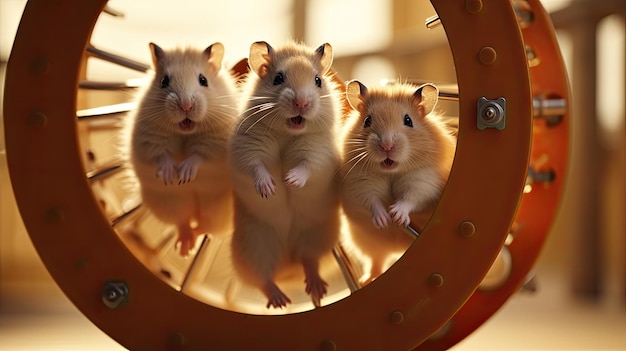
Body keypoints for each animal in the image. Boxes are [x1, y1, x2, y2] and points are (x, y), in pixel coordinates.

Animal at [124, 43, 239, 258]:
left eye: (203, 80)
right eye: (164, 81)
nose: (186, 105)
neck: (185, 132)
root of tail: (194, 211)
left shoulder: (216, 142)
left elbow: (199, 156)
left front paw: (184, 174)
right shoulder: (149, 139)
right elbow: (161, 156)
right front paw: (172, 176)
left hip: (218, 211)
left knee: (204, 227)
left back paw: (188, 248)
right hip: (168, 203)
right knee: (182, 222)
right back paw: (184, 248)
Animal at [228, 40, 342, 310]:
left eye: (318, 80)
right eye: (278, 78)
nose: (301, 103)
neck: (287, 132)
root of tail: (288, 268)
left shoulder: (318, 152)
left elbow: (306, 167)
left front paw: (289, 180)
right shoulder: (247, 148)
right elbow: (256, 167)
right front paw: (270, 188)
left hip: (316, 235)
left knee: (309, 260)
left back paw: (317, 288)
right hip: (254, 245)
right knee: (262, 278)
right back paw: (281, 301)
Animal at [338, 80, 456, 284]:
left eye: (408, 120)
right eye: (367, 121)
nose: (387, 146)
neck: (391, 172)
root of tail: (397, 249)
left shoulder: (424, 180)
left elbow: (410, 198)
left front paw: (396, 215)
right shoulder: (361, 182)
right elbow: (372, 200)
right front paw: (384, 220)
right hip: (368, 243)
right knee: (377, 260)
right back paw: (366, 280)